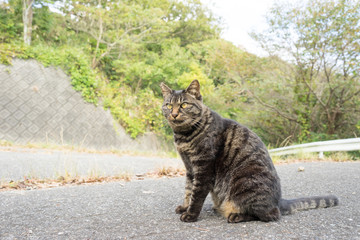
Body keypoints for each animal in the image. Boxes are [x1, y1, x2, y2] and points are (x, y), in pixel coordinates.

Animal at [161, 79, 340, 222]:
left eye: (184, 104)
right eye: (168, 105)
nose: (174, 114)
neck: (183, 136)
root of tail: (278, 201)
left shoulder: (203, 168)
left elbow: (196, 194)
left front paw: (190, 214)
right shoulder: (190, 168)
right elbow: (188, 190)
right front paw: (185, 207)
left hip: (244, 183)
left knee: (269, 215)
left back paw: (235, 215)